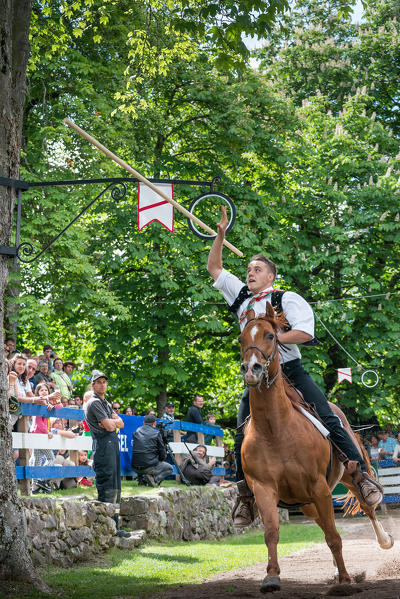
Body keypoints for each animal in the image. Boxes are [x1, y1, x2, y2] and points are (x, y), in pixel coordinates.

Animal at [239, 304, 392, 596]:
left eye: (270, 336)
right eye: (241, 339)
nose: (251, 369)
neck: (275, 430)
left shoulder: (319, 487)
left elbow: (334, 536)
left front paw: (344, 581)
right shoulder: (264, 488)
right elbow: (272, 532)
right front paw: (271, 577)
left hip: (347, 478)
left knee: (366, 507)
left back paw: (385, 540)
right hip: (306, 503)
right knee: (323, 524)